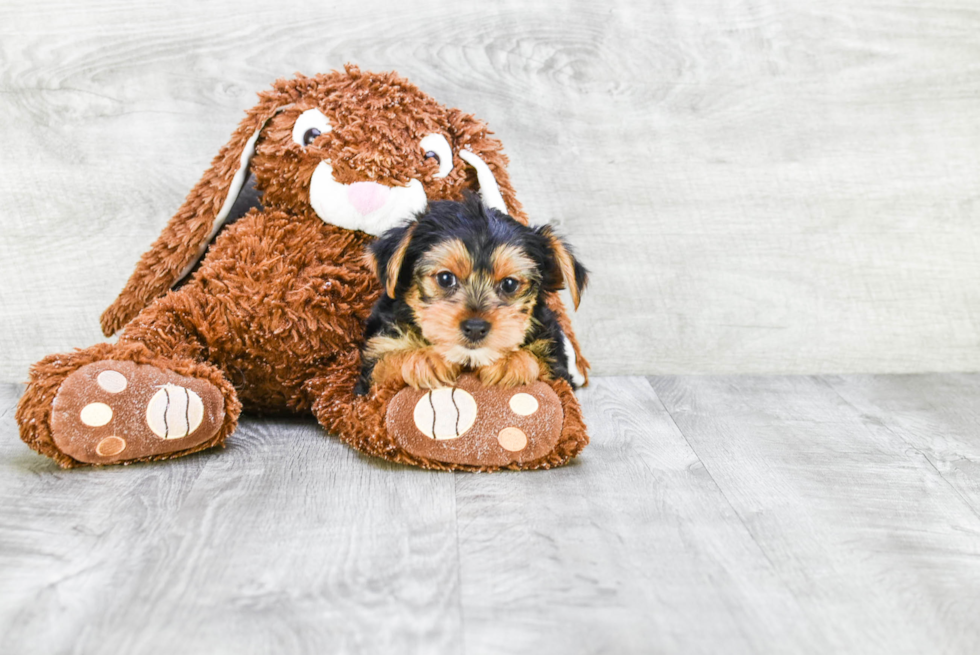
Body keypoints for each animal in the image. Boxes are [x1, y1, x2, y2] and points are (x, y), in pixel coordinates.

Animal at [356, 195, 584, 394]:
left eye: (509, 284)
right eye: (445, 278)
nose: (475, 328)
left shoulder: (558, 369)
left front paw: (512, 361)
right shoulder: (372, 369)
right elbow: (383, 367)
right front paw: (423, 358)